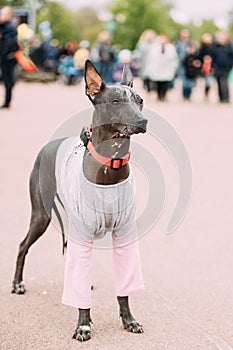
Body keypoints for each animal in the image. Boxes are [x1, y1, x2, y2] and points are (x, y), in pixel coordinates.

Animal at [11, 60, 147, 342]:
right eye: (115, 101)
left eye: (140, 100)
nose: (143, 121)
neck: (110, 166)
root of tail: (48, 145)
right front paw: (83, 325)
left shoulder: (124, 236)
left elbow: (125, 288)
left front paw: (128, 320)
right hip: (41, 216)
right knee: (22, 246)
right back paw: (17, 283)